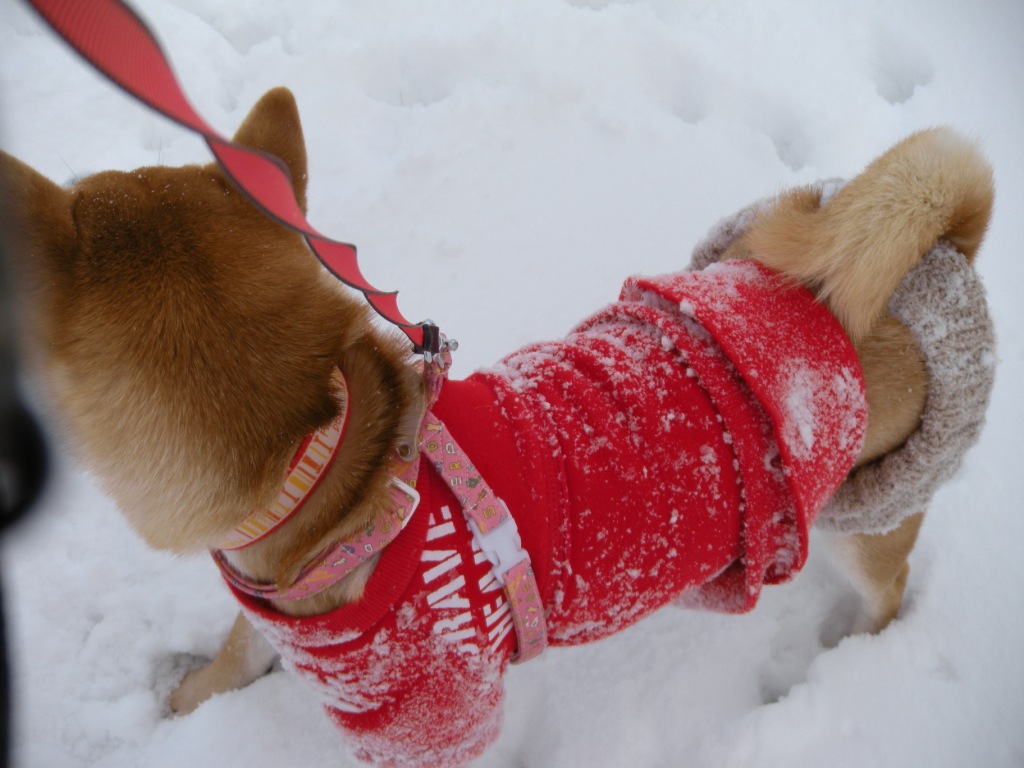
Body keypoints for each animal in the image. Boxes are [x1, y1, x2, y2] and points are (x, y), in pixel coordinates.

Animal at [0, 87, 991, 765]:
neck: (334, 470)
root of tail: (932, 260)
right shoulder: (289, 635)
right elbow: (232, 660)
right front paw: (187, 700)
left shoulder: (434, 724)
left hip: (867, 520)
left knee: (888, 590)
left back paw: (850, 654)